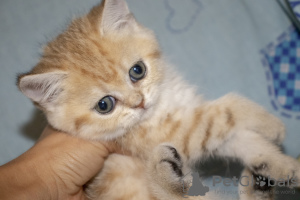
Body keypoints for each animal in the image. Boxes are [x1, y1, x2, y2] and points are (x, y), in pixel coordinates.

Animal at [17, 0, 300, 199]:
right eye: (104, 105)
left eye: (137, 70)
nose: (139, 102)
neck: (163, 105)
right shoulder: (177, 133)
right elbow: (225, 110)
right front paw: (272, 124)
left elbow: (242, 140)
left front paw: (282, 165)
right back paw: (164, 172)